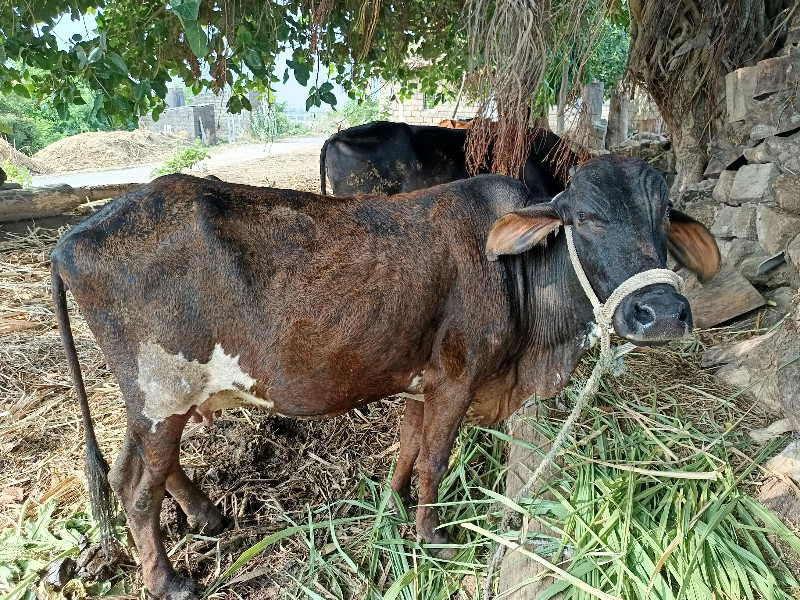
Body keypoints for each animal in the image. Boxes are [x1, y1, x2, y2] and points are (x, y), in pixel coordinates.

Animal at [53, 156, 720, 600]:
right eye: (586, 218)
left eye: (664, 218)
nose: (662, 313)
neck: (521, 278)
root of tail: (70, 239)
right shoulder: (457, 379)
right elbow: (435, 462)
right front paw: (432, 538)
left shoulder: (422, 383)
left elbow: (407, 450)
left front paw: (392, 506)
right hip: (161, 396)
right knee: (136, 491)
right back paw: (167, 580)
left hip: (152, 401)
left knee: (132, 469)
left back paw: (209, 518)